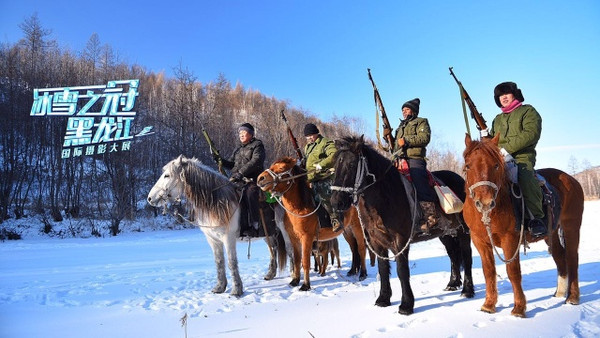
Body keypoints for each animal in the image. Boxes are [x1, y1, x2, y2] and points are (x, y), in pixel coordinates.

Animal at [145, 156, 286, 296]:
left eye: (167, 175)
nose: (150, 198)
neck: (218, 203)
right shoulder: (213, 239)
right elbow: (219, 262)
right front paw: (220, 287)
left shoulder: (228, 238)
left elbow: (231, 262)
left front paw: (237, 290)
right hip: (268, 234)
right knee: (273, 248)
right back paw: (270, 274)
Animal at [256, 157, 372, 292]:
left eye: (281, 168)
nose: (260, 178)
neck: (300, 208)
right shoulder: (294, 239)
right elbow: (297, 260)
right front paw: (295, 281)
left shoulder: (306, 238)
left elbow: (305, 262)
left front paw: (305, 285)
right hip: (347, 231)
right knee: (353, 249)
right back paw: (353, 270)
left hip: (357, 228)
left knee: (361, 249)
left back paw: (363, 273)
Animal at [328, 136, 474, 316]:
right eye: (335, 166)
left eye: (351, 164)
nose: (336, 202)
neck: (387, 196)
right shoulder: (377, 243)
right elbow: (383, 269)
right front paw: (383, 299)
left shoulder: (400, 242)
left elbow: (402, 271)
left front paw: (406, 305)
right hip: (445, 234)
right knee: (453, 255)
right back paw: (453, 283)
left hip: (463, 232)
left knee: (467, 257)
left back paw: (467, 290)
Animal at [462, 134, 584, 316]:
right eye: (468, 166)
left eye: (496, 165)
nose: (485, 202)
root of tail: (571, 179)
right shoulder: (480, 241)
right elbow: (489, 272)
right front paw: (489, 304)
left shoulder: (510, 239)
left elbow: (513, 272)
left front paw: (519, 307)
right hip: (552, 233)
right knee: (559, 255)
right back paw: (560, 292)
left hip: (571, 226)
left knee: (571, 257)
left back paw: (573, 297)